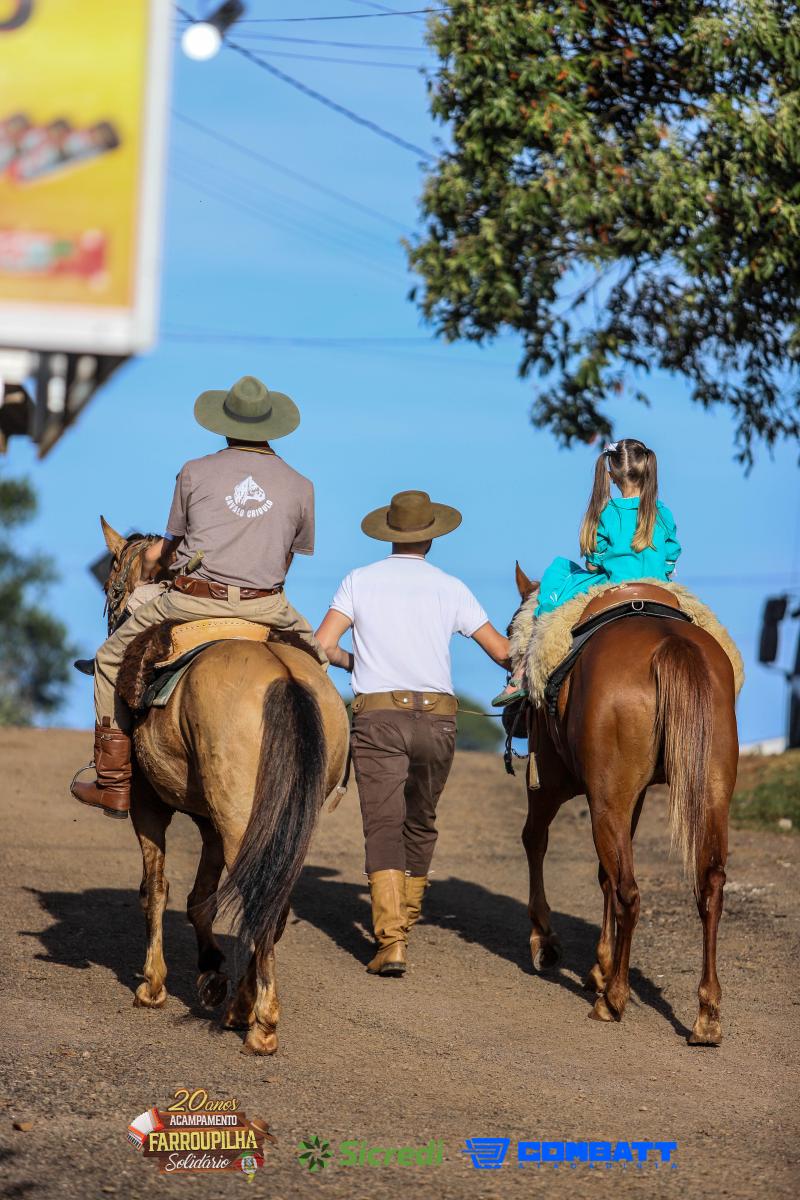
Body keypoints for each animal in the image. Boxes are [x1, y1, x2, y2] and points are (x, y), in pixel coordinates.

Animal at [97, 519, 349, 1055]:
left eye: (111, 585)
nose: (113, 612)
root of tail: (284, 677)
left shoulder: (149, 806)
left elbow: (156, 888)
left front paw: (153, 985)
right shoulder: (209, 821)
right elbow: (200, 898)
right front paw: (211, 973)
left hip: (238, 818)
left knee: (258, 897)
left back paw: (258, 1021)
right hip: (279, 821)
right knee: (273, 899)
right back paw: (246, 1007)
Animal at [510, 565, 739, 1045]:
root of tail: (670, 644)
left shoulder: (553, 782)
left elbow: (536, 842)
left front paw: (546, 942)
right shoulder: (626, 799)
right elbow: (603, 874)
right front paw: (599, 964)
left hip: (602, 800)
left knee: (628, 891)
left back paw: (613, 998)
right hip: (708, 791)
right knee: (708, 886)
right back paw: (706, 1014)